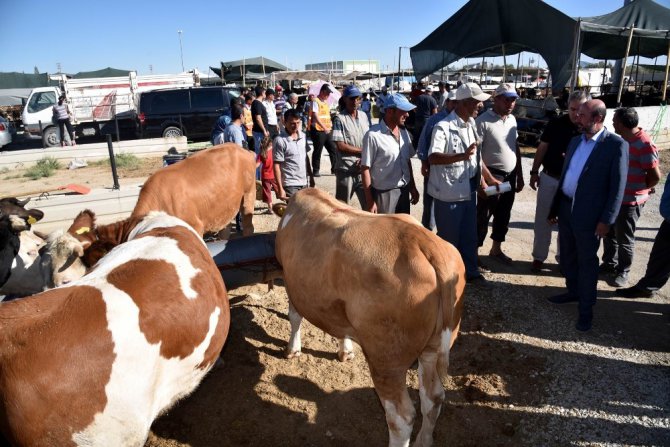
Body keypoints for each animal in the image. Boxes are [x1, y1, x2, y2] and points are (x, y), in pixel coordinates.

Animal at [272, 189, 468, 447]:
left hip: (386, 358)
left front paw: (292, 349)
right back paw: (423, 441)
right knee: (432, 398)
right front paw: (345, 350)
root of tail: (424, 242)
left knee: (401, 417)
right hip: (432, 347)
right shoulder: (338, 305)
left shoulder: (290, 280)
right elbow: (341, 327)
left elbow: (294, 317)